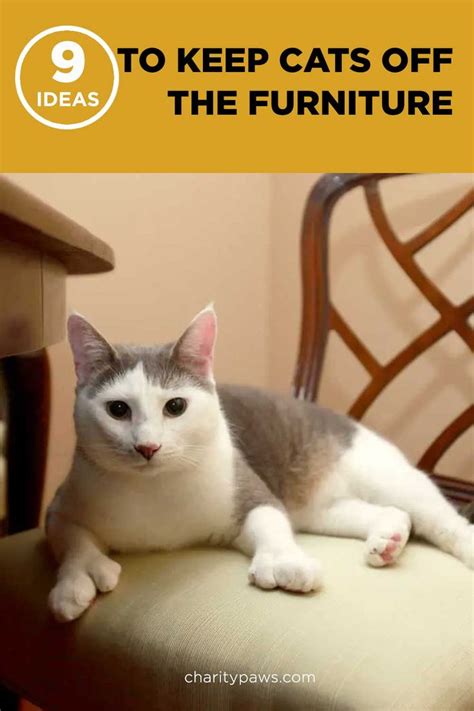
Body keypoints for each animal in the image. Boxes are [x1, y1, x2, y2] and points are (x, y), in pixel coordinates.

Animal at [46, 306, 474, 622]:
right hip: (323, 511)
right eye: (118, 409)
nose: (147, 446)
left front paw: (285, 562)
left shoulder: (252, 492)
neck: (156, 492)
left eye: (175, 406)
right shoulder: (63, 504)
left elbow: (268, 522)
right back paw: (388, 539)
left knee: (445, 521)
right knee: (392, 511)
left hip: (389, 478)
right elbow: (71, 537)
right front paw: (75, 580)